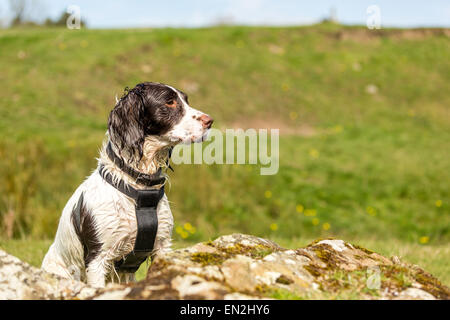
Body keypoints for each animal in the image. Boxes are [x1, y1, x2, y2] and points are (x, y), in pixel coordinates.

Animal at [41, 82, 214, 288]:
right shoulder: (97, 258)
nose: (210, 121)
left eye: (186, 100)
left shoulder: (162, 246)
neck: (141, 189)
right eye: (169, 102)